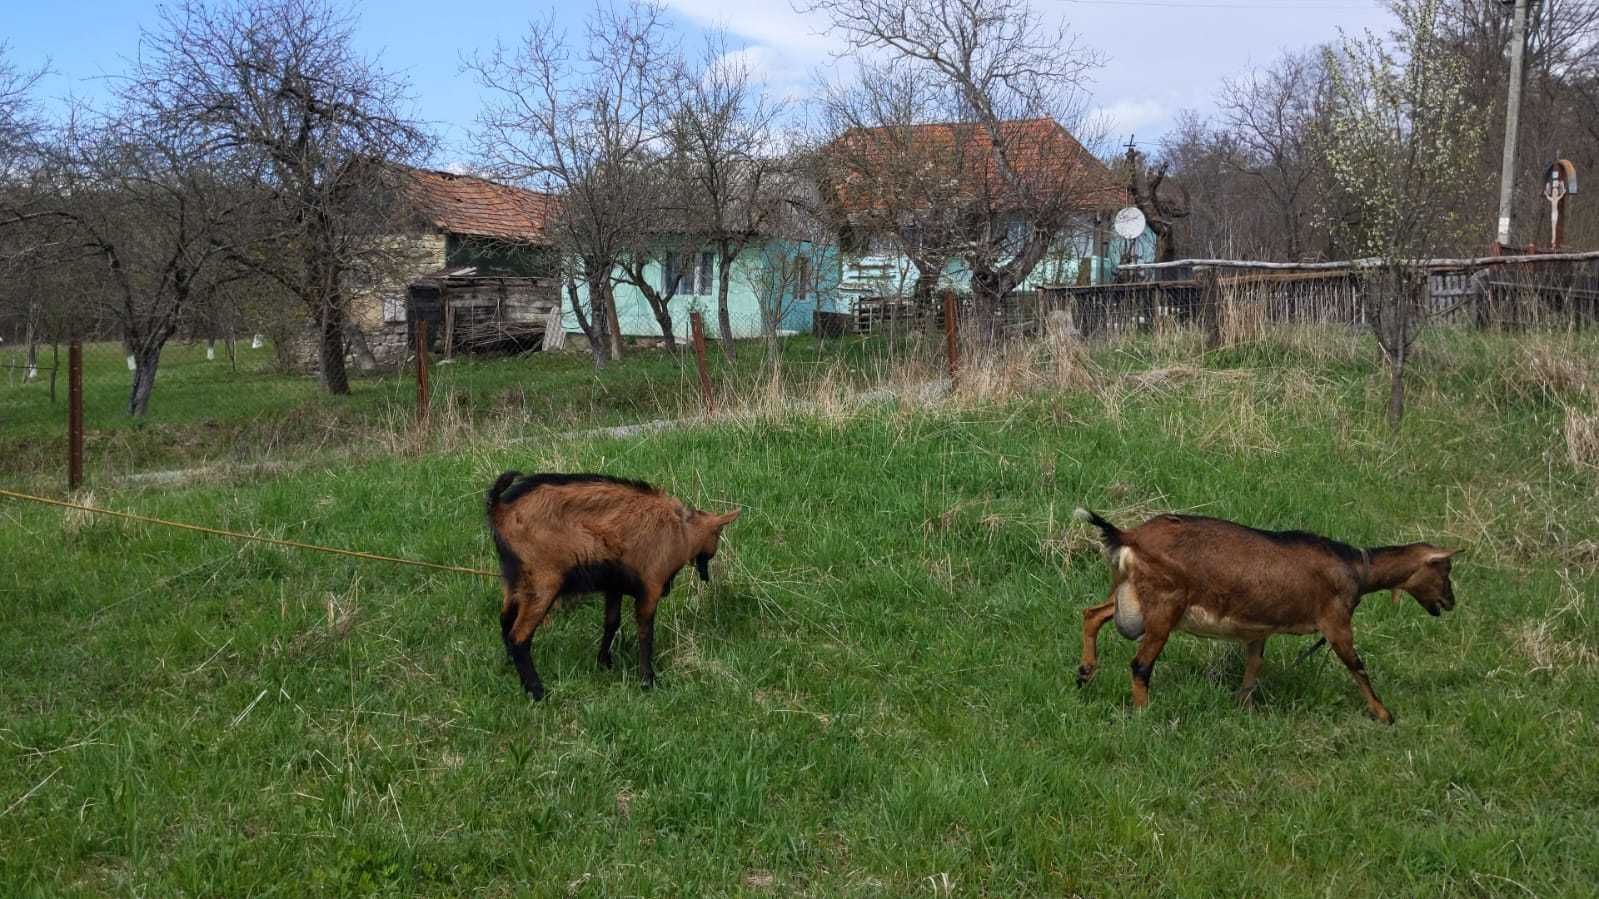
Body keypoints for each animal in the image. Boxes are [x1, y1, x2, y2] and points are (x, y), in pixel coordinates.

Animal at [482, 470, 738, 700]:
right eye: (718, 536)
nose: (706, 576)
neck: (680, 531)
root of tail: (500, 509)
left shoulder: (614, 586)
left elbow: (612, 623)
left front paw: (604, 662)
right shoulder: (651, 586)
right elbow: (645, 633)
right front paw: (647, 680)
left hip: (515, 581)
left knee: (505, 620)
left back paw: (511, 668)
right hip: (543, 581)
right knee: (519, 637)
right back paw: (537, 691)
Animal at [1074, 505, 1464, 719]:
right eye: (1444, 569)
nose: (1450, 603)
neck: (1357, 568)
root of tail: (1129, 536)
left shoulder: (1258, 629)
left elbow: (1253, 668)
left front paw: (1243, 707)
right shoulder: (1336, 621)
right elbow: (1357, 666)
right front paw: (1384, 714)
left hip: (1130, 593)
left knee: (1092, 613)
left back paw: (1084, 673)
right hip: (1163, 604)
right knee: (1140, 664)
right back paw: (1144, 712)